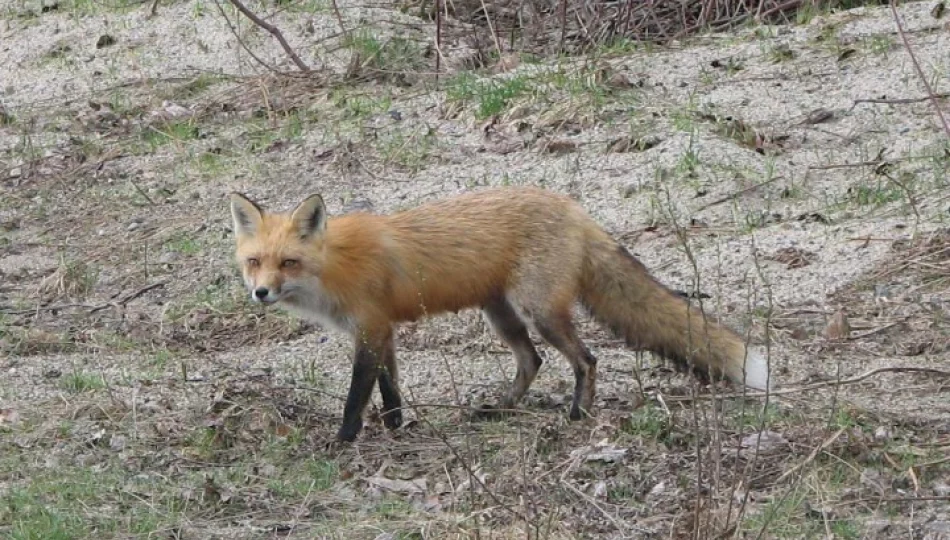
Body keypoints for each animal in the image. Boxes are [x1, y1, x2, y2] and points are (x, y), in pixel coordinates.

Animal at [231, 188, 772, 440]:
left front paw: (343, 442)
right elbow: (390, 391)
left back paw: (578, 413)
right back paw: (502, 409)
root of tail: (573, 207)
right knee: (532, 362)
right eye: (255, 261)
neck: (334, 267)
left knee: (586, 360)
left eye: (288, 262)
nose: (261, 293)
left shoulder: (370, 329)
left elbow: (355, 397)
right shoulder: (381, 331)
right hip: (501, 316)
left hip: (540, 312)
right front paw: (397, 429)